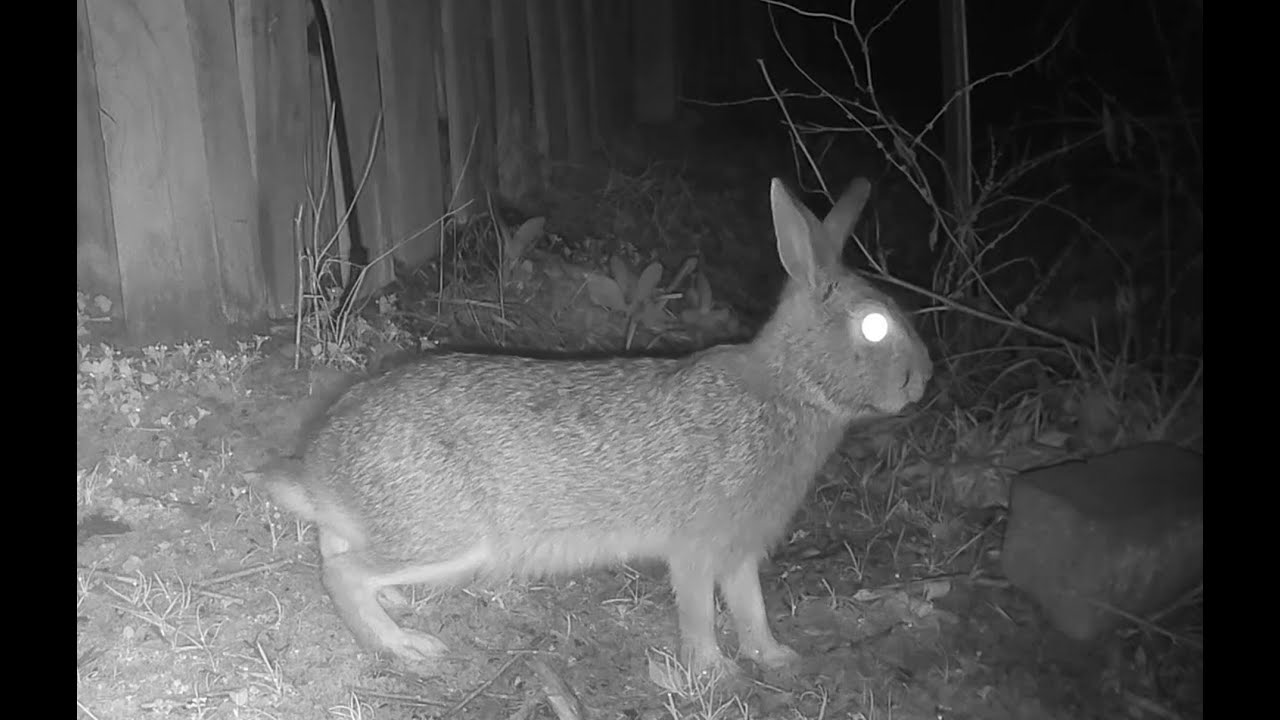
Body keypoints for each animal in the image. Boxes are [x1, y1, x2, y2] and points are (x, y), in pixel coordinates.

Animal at [252, 177, 933, 678]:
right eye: (874, 327)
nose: (922, 379)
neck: (789, 387)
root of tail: (321, 471)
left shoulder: (742, 551)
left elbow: (751, 608)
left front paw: (775, 657)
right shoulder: (699, 544)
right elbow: (699, 611)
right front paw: (715, 672)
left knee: (336, 548)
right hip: (451, 537)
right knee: (342, 573)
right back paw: (404, 647)